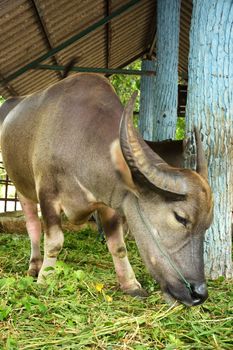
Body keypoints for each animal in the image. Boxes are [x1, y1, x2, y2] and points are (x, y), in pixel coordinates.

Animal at [0, 73, 213, 304]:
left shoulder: (108, 202)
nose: (199, 293)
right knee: (32, 226)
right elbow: (54, 242)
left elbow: (118, 246)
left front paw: (131, 284)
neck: (81, 142)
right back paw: (34, 266)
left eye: (207, 225)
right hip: (22, 187)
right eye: (180, 218)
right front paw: (44, 280)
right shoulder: (47, 194)